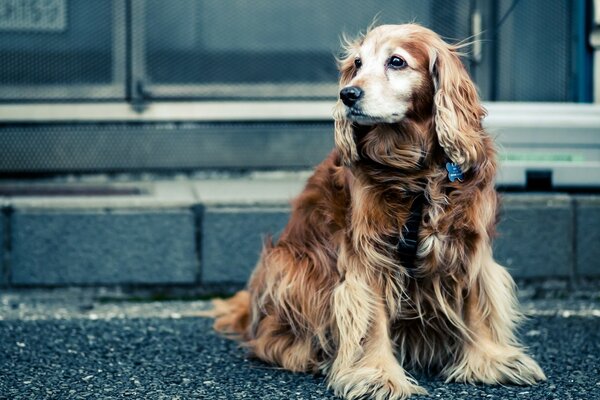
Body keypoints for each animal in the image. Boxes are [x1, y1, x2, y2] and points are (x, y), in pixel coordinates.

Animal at [210, 24, 544, 400]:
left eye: (396, 61)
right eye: (356, 63)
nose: (347, 94)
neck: (416, 172)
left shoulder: (468, 242)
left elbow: (478, 303)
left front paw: (491, 360)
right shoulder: (368, 253)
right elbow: (370, 319)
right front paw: (378, 376)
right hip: (289, 264)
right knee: (273, 339)